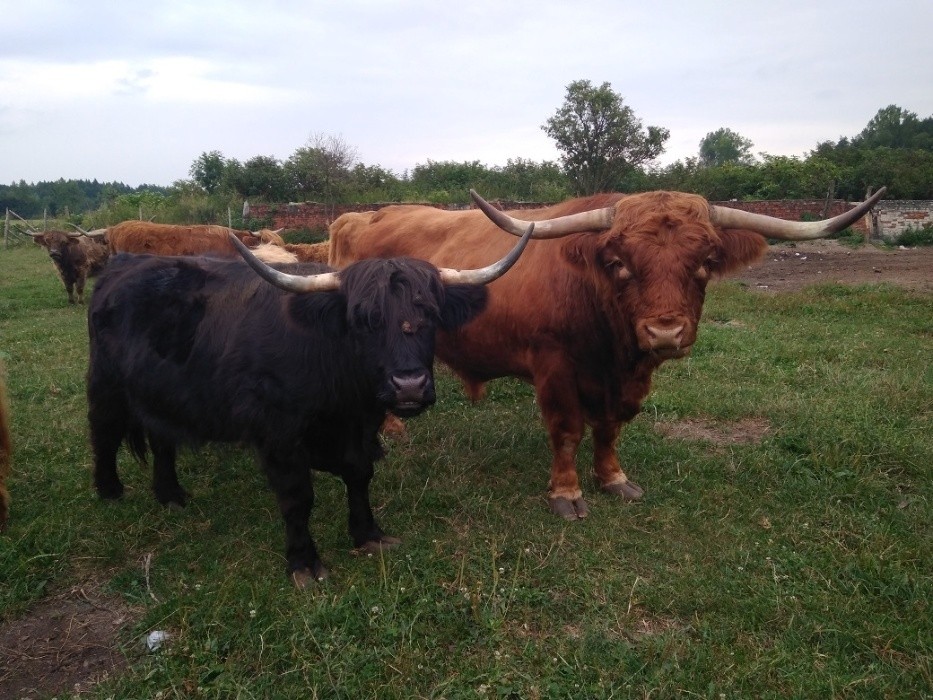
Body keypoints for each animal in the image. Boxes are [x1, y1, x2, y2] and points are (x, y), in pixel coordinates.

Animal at [86, 222, 534, 586]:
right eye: (363, 319)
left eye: (431, 316)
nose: (409, 385)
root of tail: (124, 262)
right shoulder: (278, 435)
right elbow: (298, 496)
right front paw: (304, 562)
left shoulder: (360, 427)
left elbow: (360, 475)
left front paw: (368, 534)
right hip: (106, 385)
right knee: (102, 432)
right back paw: (110, 490)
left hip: (159, 391)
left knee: (162, 439)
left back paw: (170, 494)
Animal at [329, 187, 886, 520]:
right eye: (618, 262)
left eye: (705, 261)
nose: (664, 331)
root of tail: (368, 216)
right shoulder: (553, 367)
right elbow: (567, 430)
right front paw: (567, 493)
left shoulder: (625, 381)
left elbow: (611, 428)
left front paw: (614, 478)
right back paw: (393, 431)